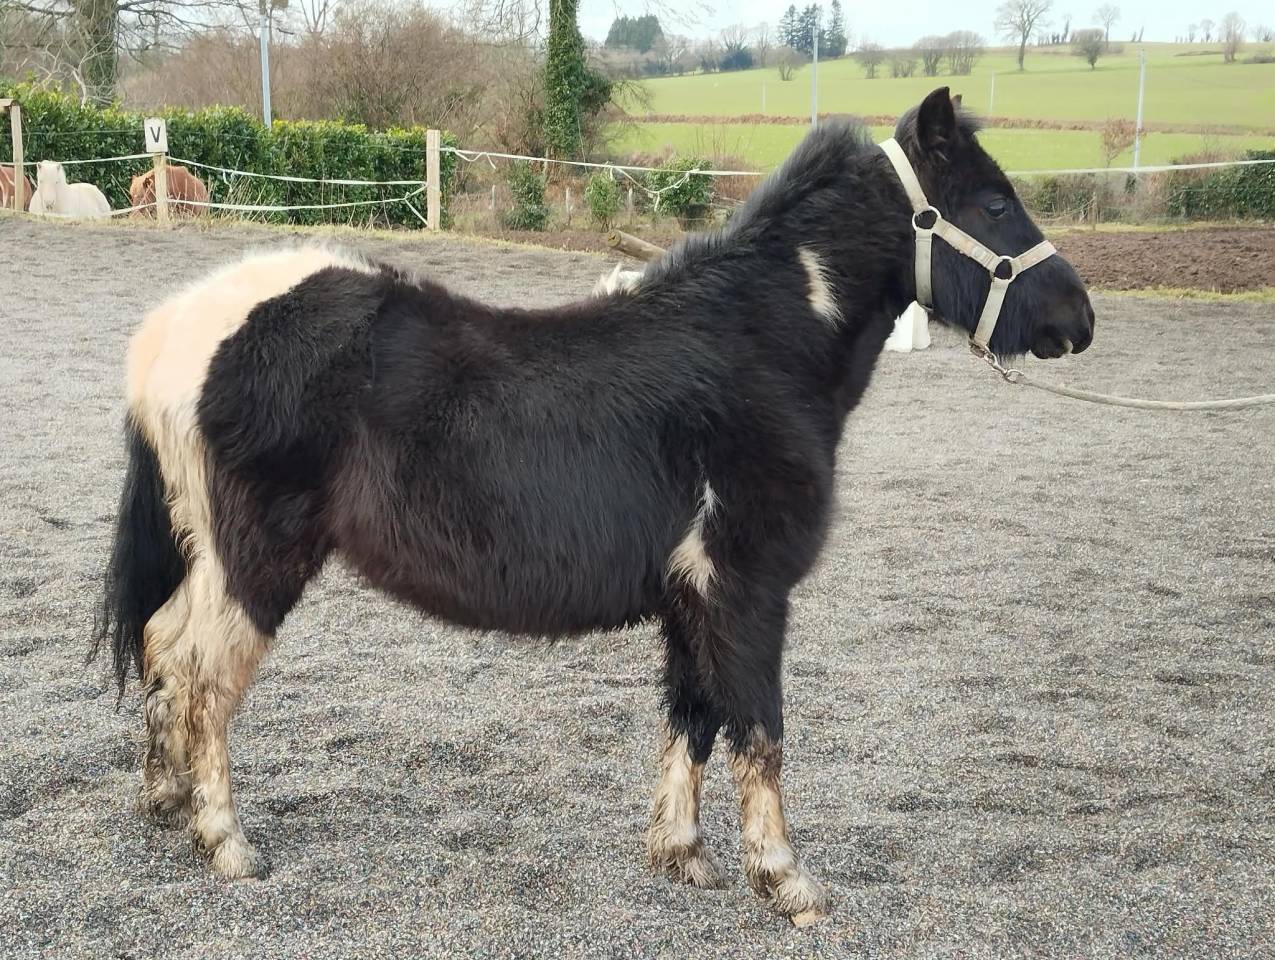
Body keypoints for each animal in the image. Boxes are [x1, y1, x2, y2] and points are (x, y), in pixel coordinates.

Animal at [93, 88, 1094, 924]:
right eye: (993, 204)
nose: (1075, 318)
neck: (756, 351)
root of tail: (176, 330)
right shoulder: (746, 588)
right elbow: (758, 727)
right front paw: (786, 881)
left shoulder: (695, 596)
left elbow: (693, 717)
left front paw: (683, 857)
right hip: (257, 559)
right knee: (202, 672)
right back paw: (226, 842)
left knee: (163, 646)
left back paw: (165, 802)